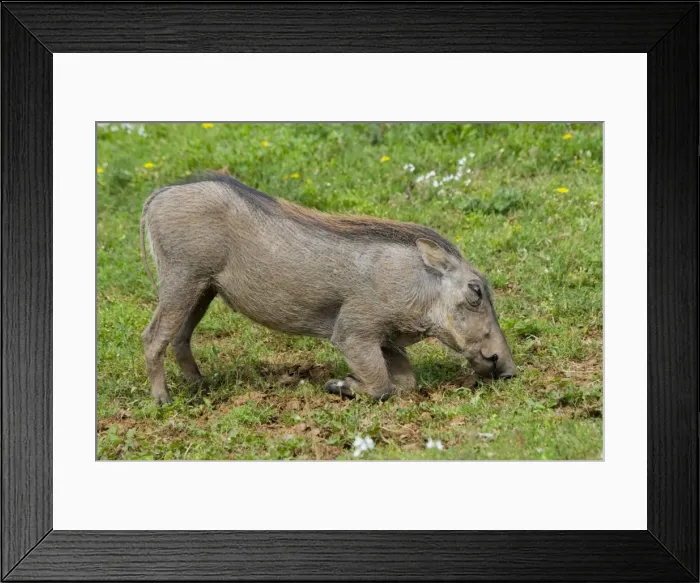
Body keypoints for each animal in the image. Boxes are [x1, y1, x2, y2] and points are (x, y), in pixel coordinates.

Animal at [140, 173, 517, 405]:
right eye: (475, 292)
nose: (510, 371)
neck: (419, 286)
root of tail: (160, 193)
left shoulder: (386, 338)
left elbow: (406, 383)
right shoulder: (354, 332)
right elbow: (381, 387)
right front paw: (340, 386)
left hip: (203, 289)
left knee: (180, 336)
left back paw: (199, 386)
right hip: (182, 278)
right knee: (153, 336)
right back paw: (163, 401)